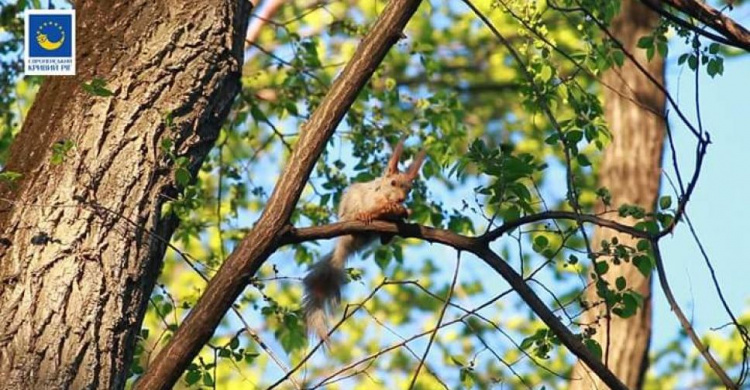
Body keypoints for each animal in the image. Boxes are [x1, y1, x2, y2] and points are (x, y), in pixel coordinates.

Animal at [302, 139, 426, 346]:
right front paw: (389, 208)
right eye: (393, 182)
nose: (401, 199)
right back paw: (362, 217)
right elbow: (376, 206)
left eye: (409, 189)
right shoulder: (371, 198)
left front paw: (404, 211)